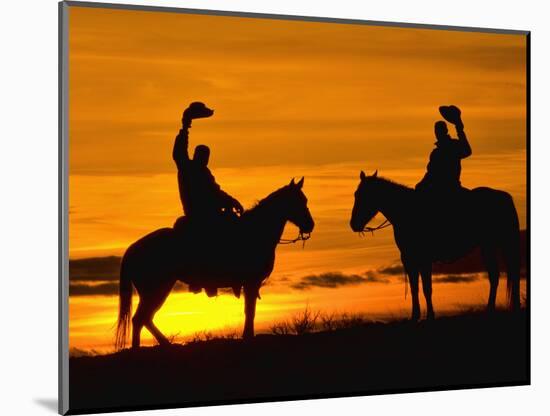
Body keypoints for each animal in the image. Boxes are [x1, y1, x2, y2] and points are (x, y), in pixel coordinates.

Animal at [116, 177, 314, 350]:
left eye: (305, 199)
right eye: (298, 201)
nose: (310, 225)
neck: (256, 231)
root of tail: (132, 249)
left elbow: (249, 310)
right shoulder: (251, 282)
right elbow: (250, 311)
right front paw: (248, 336)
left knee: (143, 319)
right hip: (157, 289)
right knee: (141, 318)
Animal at [354, 171, 520, 320]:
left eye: (362, 195)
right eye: (356, 194)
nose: (353, 224)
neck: (407, 212)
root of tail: (504, 197)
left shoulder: (423, 258)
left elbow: (427, 288)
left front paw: (429, 315)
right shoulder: (408, 259)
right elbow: (415, 287)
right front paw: (415, 316)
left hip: (492, 244)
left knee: (497, 275)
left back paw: (492, 309)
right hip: (490, 246)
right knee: (498, 274)